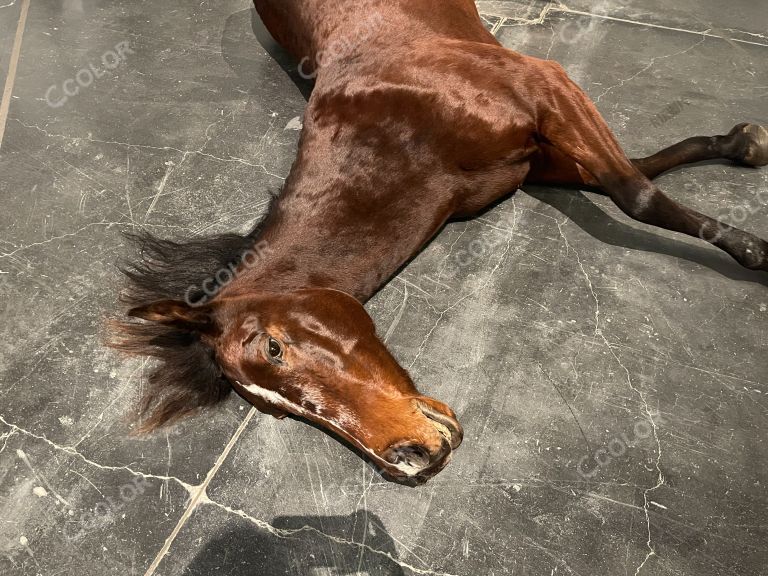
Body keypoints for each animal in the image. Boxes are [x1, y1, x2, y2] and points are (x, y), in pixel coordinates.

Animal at [111, 0, 764, 484]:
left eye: (274, 348)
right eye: (271, 406)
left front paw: (753, 242)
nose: (409, 459)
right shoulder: (537, 157)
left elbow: (636, 192)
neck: (401, 120)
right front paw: (738, 144)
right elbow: (636, 175)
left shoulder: (545, 86)